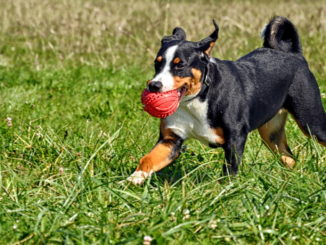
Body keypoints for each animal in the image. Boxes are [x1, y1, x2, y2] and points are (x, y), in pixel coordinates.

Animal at [128, 16, 326, 185]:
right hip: (272, 133)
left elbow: (229, 172)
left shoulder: (235, 138)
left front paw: (223, 193)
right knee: (289, 158)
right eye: (157, 63)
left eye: (180, 65)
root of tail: (294, 54)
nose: (154, 85)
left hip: (312, 123)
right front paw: (132, 180)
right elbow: (148, 159)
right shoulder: (171, 139)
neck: (196, 100)